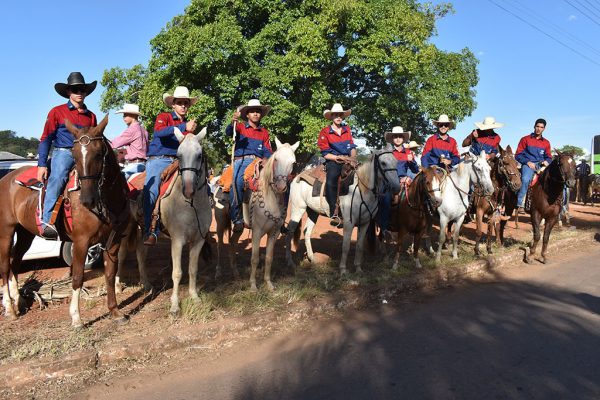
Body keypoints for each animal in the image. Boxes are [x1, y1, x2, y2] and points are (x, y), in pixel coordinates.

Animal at [0, 116, 130, 327]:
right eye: (74, 155)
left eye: (98, 154)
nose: (87, 200)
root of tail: (7, 180)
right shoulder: (81, 242)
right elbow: (77, 277)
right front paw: (76, 318)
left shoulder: (114, 241)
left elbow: (110, 275)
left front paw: (115, 312)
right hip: (6, 231)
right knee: (5, 267)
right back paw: (10, 308)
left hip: (25, 233)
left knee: (15, 262)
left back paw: (19, 301)